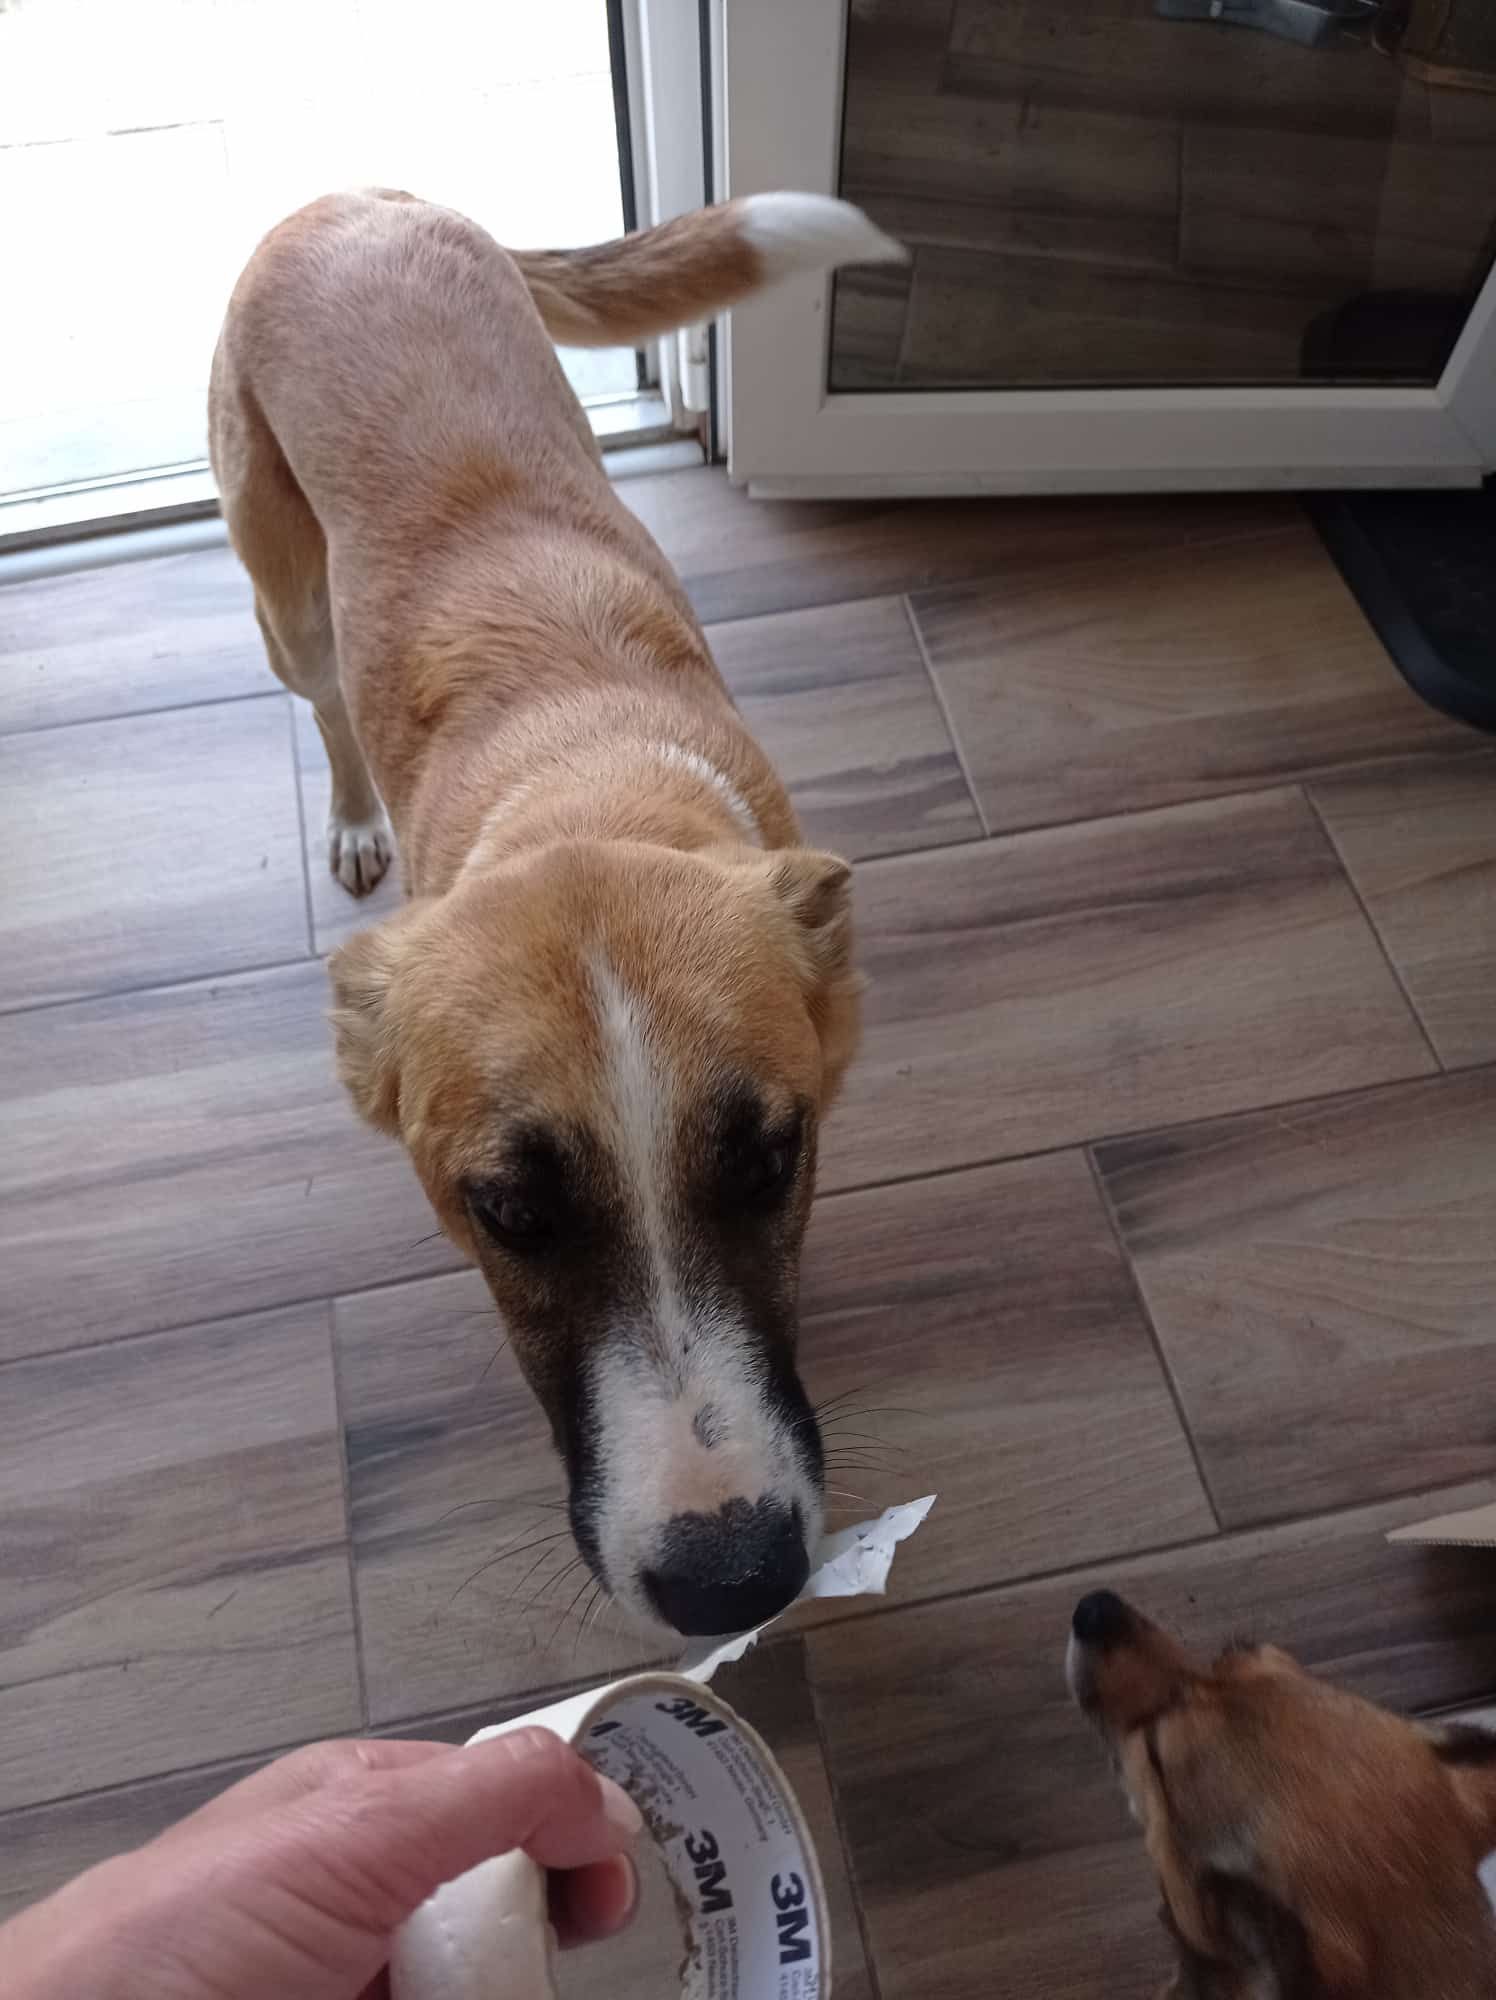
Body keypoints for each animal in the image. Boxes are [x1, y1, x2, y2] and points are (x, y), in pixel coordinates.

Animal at [209, 188, 904, 1639]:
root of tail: (357, 197)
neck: (581, 779)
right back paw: (348, 814)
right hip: (287, 603)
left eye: (771, 1159)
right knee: (322, 699)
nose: (732, 1583)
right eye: (510, 1215)